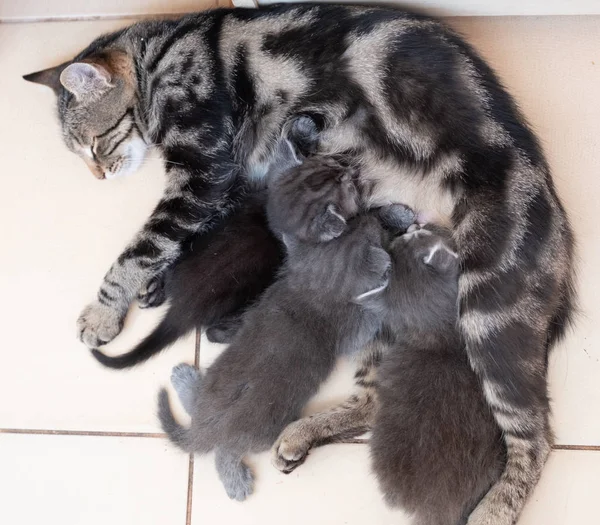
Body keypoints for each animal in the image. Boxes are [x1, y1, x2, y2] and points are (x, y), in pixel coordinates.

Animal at [157, 160, 414, 500]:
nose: (370, 217)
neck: (319, 281)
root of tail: (203, 430)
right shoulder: (350, 327)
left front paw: (395, 217)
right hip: (262, 430)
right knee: (227, 451)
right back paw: (238, 481)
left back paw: (185, 378)